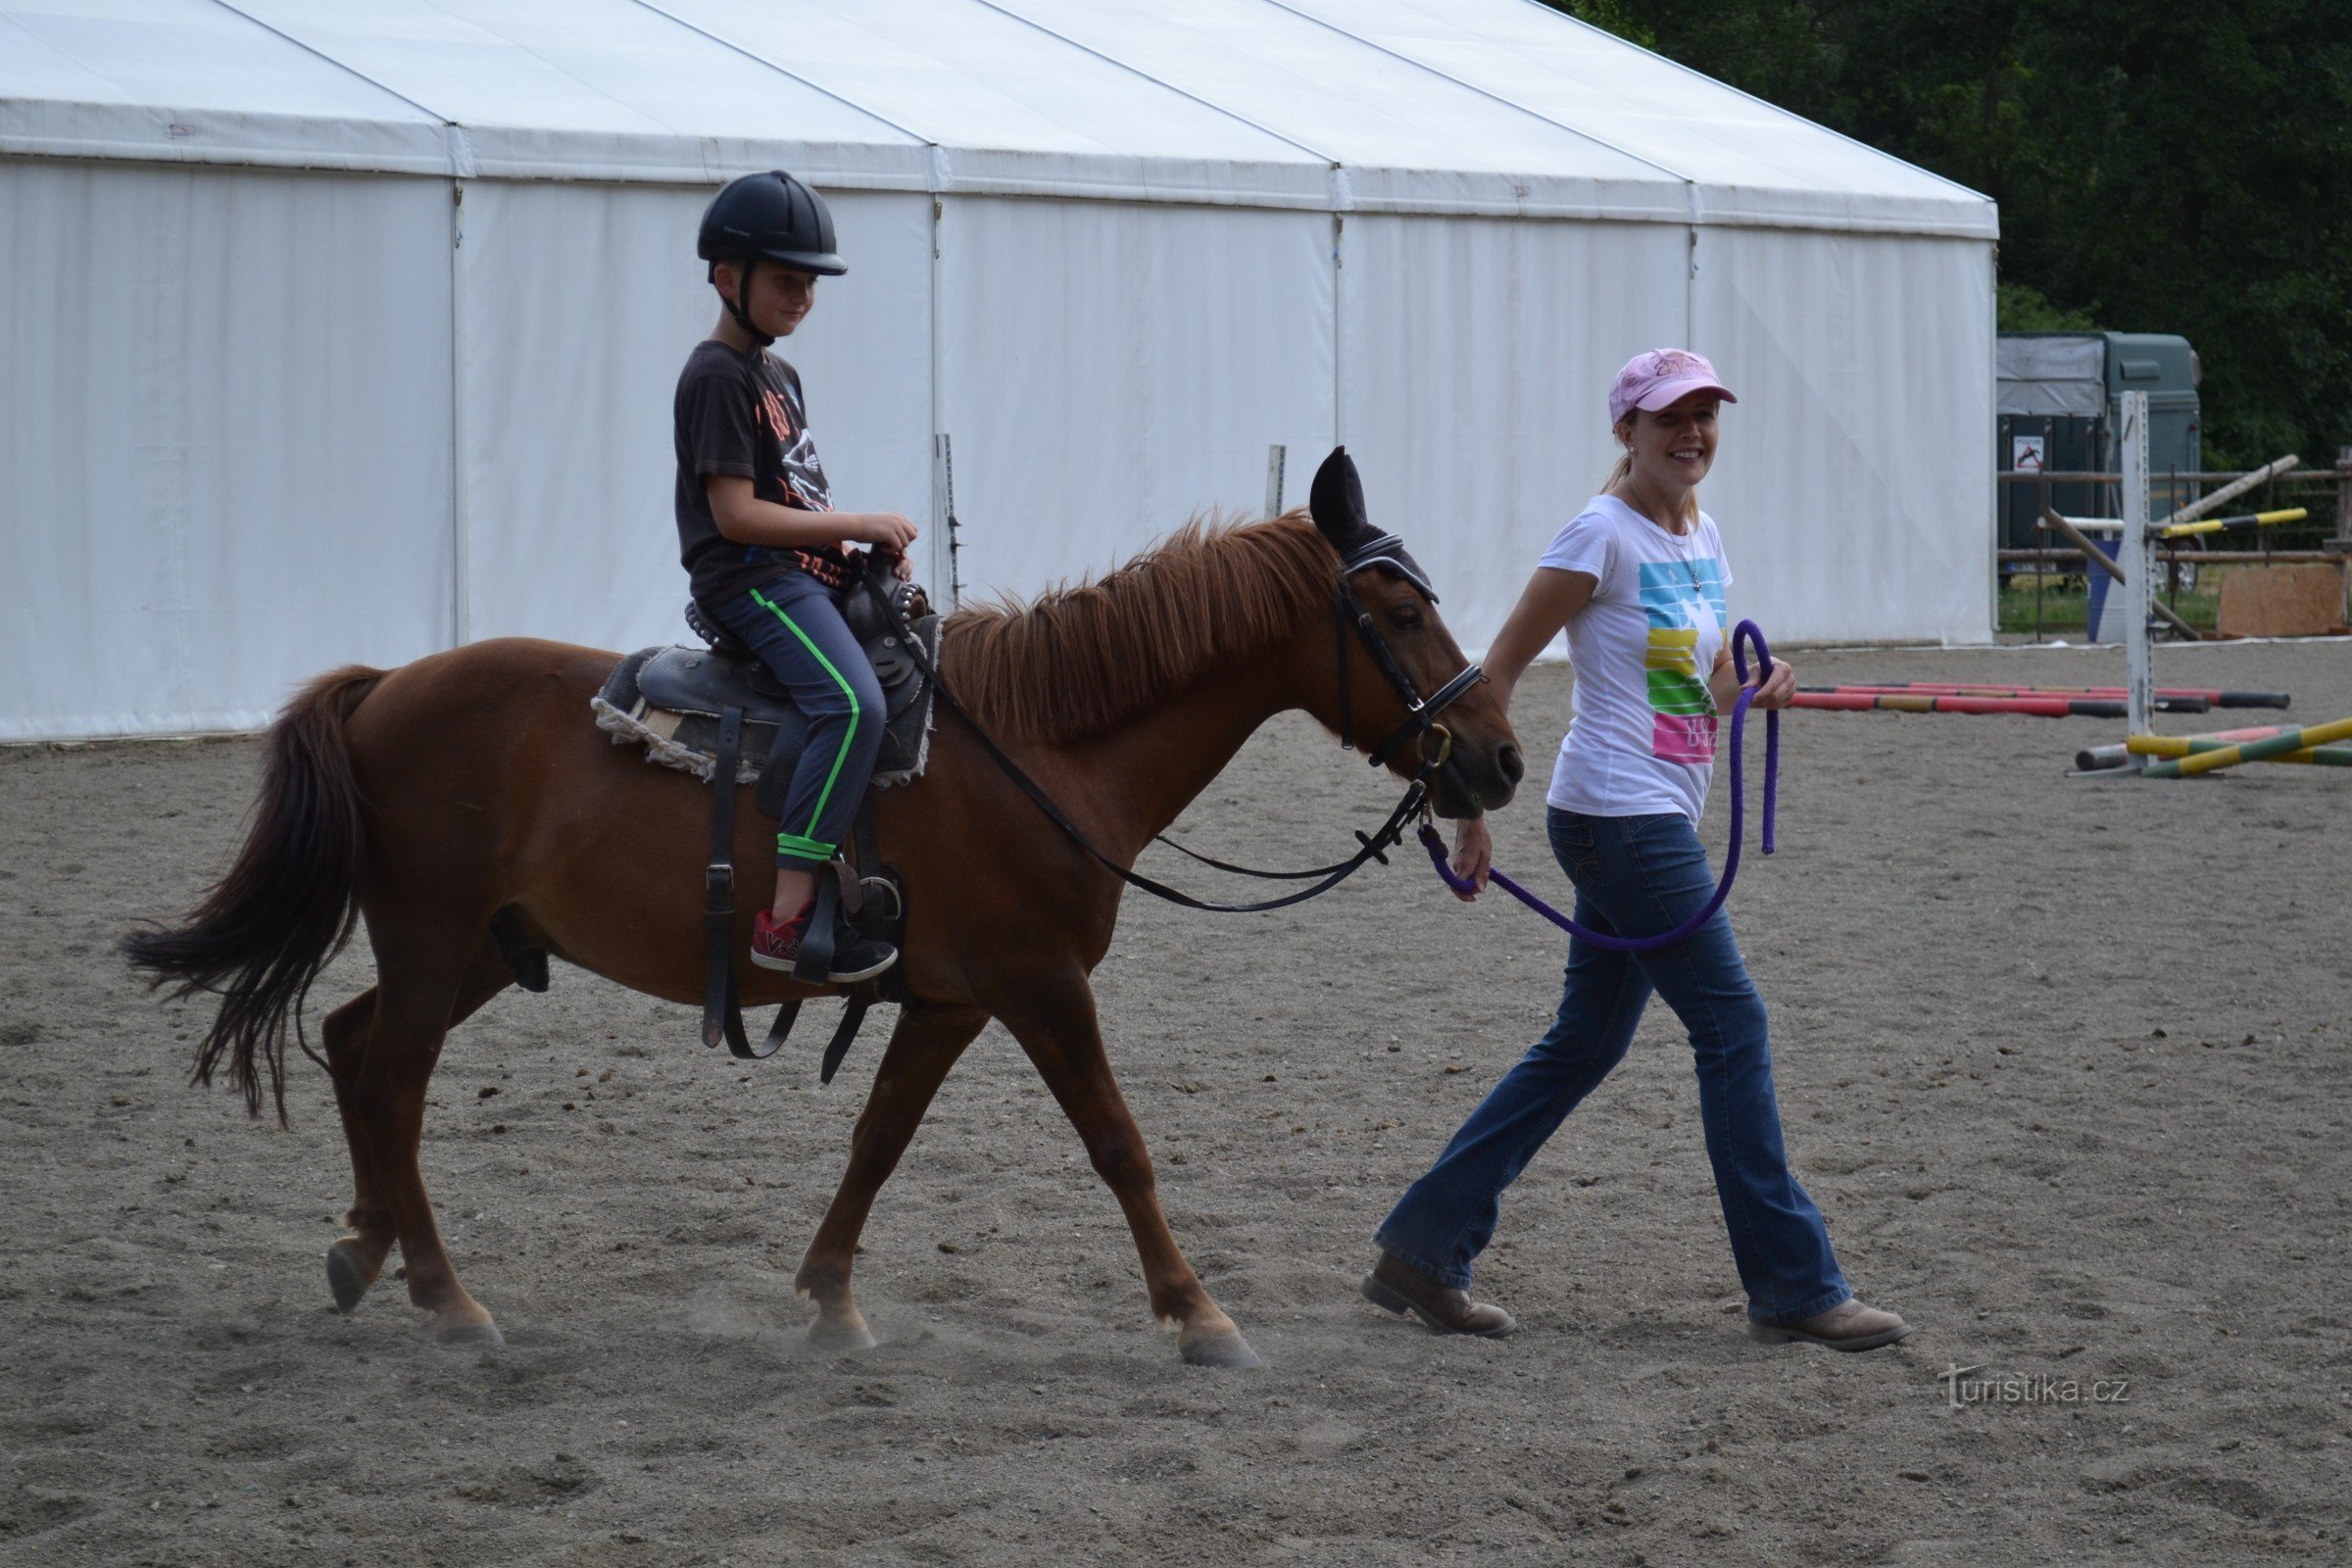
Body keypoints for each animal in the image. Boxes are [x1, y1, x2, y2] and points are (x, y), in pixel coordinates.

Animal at [128, 472, 1514, 1363]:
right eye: (1397, 612)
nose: (1497, 759)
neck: (1043, 747)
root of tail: (382, 689)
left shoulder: (952, 1000)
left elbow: (878, 1140)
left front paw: (830, 1303)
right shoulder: (1040, 984)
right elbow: (1120, 1144)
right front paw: (1198, 1315)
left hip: (481, 943)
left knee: (354, 1047)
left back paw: (364, 1253)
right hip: (433, 935)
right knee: (395, 1081)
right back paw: (445, 1295)